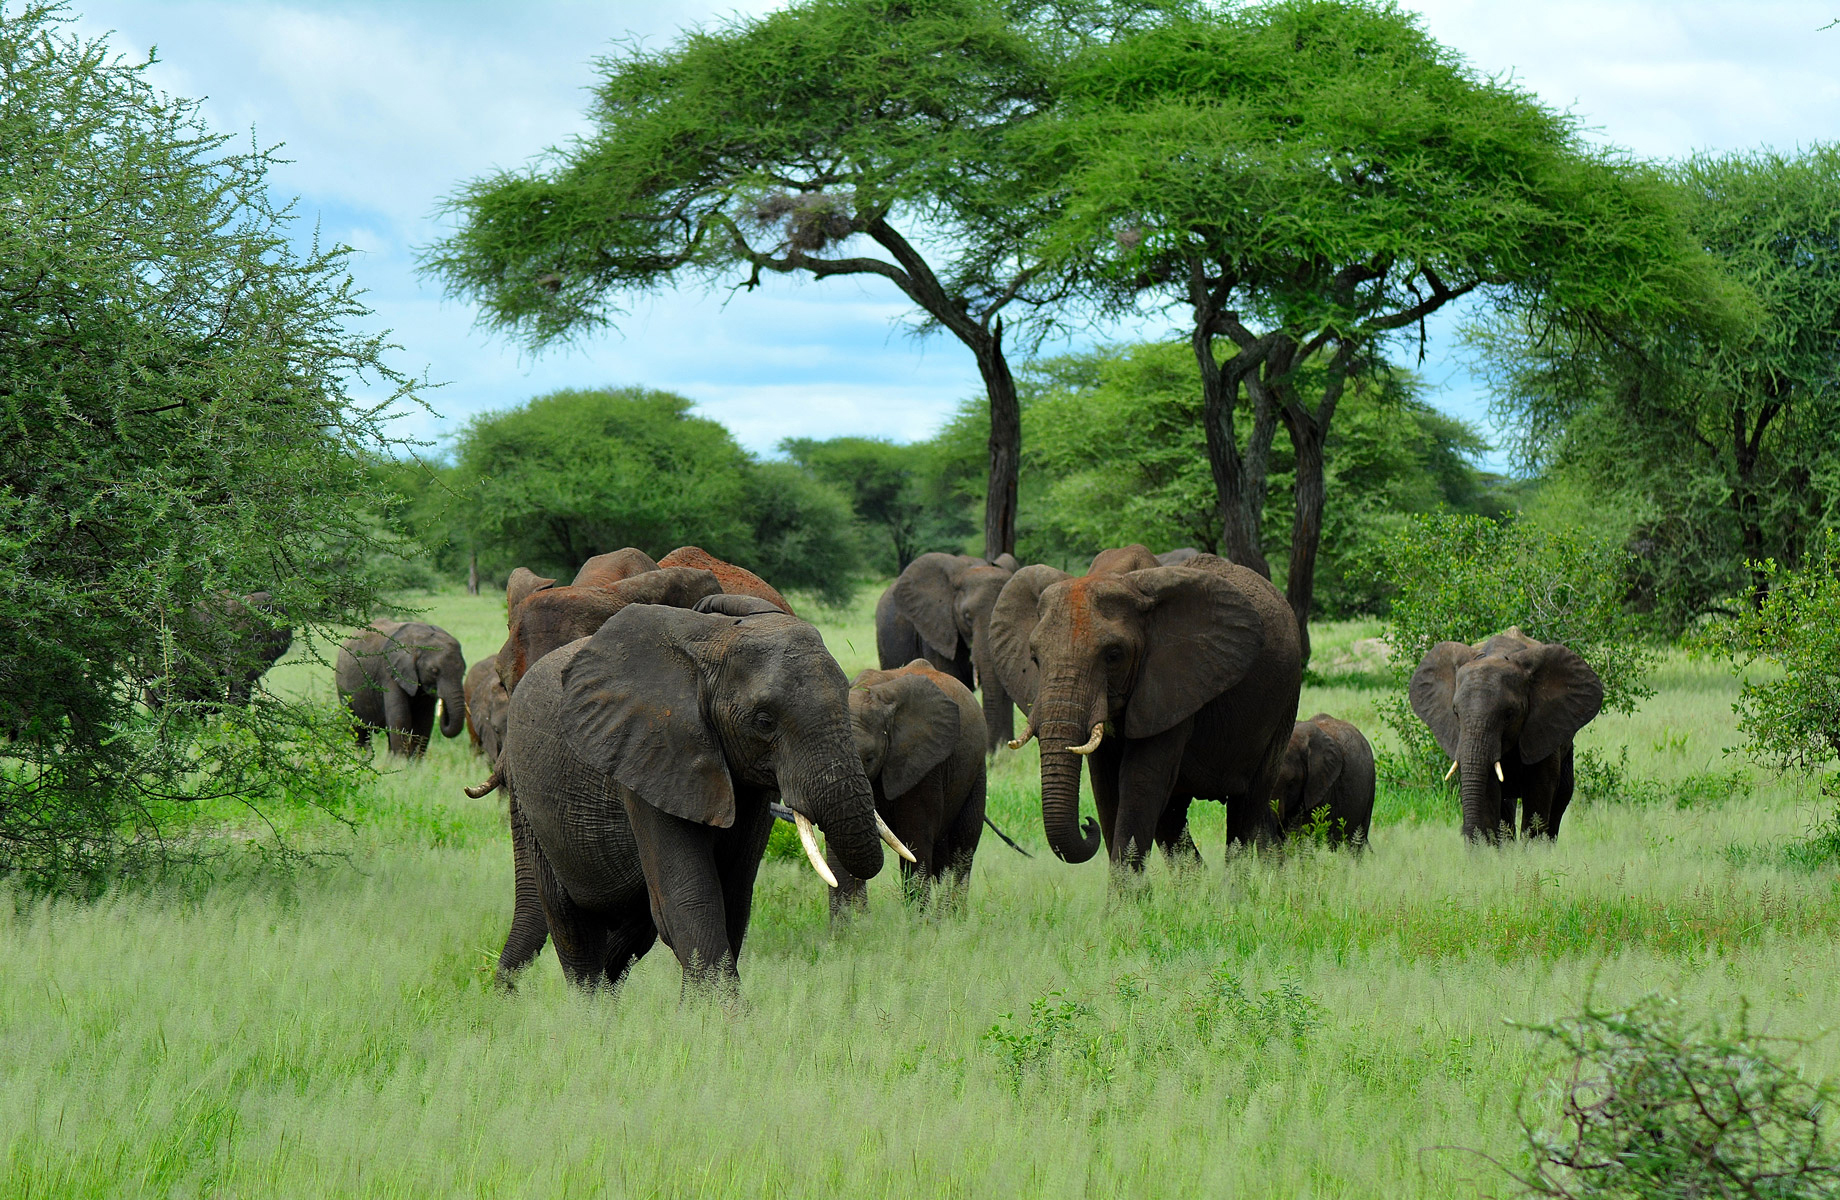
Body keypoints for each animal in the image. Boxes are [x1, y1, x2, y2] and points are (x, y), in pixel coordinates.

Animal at [336, 619, 467, 758]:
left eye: (464, 672)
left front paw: (414, 762)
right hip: (343, 687)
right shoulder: (390, 672)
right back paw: (364, 758)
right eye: (434, 671)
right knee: (358, 729)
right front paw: (400, 761)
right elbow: (400, 718)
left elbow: (424, 721)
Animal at [494, 598, 899, 992]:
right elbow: (690, 897)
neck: (712, 644)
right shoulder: (651, 752)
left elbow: (733, 895)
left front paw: (697, 1009)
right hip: (529, 804)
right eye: (764, 722)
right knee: (571, 924)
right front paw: (718, 1014)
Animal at [831, 660, 986, 914]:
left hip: (976, 769)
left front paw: (918, 922)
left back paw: (954, 916)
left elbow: (915, 838)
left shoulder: (923, 765)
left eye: (870, 758)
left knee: (964, 846)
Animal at [990, 547, 1302, 870]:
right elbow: (1106, 787)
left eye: (1114, 655)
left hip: (1284, 702)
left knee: (1246, 807)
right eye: (1035, 658)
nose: (1086, 824)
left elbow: (1141, 783)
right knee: (1174, 817)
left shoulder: (1173, 682)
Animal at [1409, 628, 1604, 843]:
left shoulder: (1544, 728)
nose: (1464, 832)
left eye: (1509, 715)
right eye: (1456, 713)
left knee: (1562, 796)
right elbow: (1489, 795)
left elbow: (1539, 795)